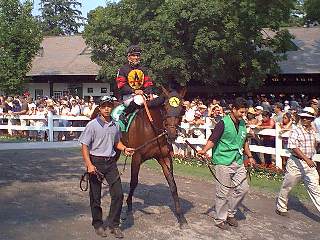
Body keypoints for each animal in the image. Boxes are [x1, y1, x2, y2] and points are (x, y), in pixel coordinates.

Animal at [121, 87, 189, 228]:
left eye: (182, 109)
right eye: (165, 108)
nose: (172, 134)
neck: (152, 128)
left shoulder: (165, 157)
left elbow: (173, 184)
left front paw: (181, 217)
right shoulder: (136, 156)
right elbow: (133, 182)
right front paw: (129, 206)